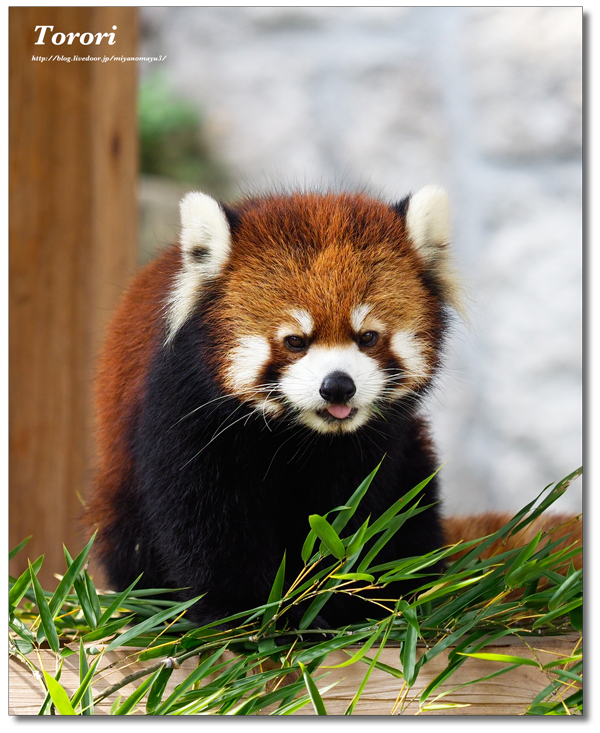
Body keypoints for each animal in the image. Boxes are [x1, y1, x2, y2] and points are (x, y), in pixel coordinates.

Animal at [84, 186, 576, 628]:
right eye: (295, 341)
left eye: (368, 337)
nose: (337, 387)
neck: (302, 436)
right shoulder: (185, 411)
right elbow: (206, 520)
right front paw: (246, 614)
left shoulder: (372, 450)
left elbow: (354, 521)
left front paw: (338, 601)